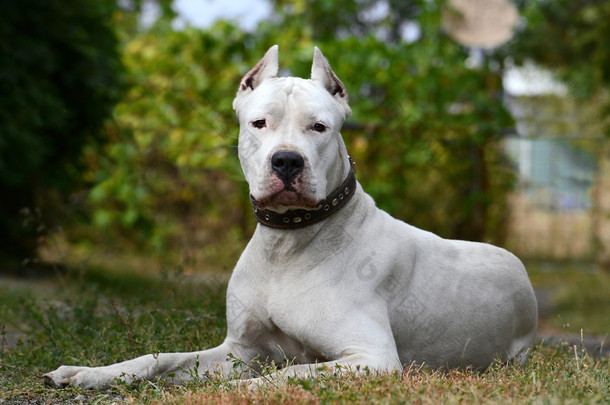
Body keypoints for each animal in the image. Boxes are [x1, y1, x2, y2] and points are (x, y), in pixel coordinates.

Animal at [44, 45, 536, 388]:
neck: (288, 243)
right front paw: (89, 372)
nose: (286, 161)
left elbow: (285, 375)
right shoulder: (239, 349)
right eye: (259, 123)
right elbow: (161, 357)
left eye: (319, 127)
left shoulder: (372, 358)